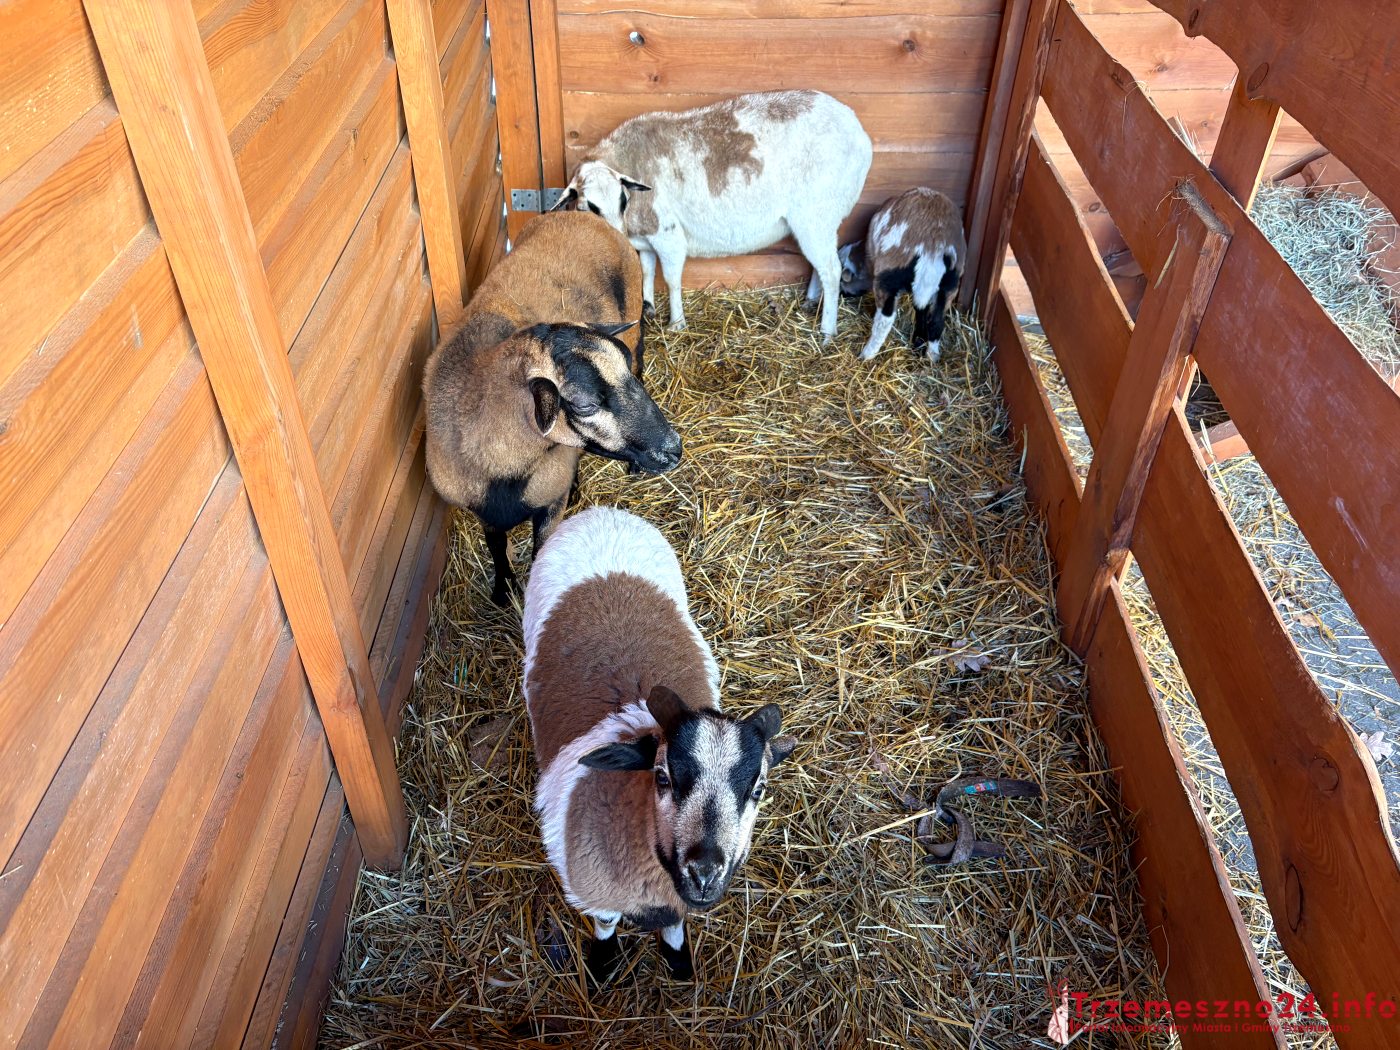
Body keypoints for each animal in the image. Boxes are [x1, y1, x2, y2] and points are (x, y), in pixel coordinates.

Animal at [423, 212, 682, 606]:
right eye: (584, 404)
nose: (674, 449)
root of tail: (578, 214)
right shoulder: (485, 512)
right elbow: (496, 548)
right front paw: (502, 592)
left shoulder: (551, 503)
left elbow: (541, 554)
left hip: (635, 322)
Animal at [523, 507, 796, 982]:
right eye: (662, 777)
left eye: (758, 790)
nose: (704, 874)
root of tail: (602, 513)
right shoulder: (596, 893)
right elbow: (606, 923)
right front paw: (602, 964)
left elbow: (673, 927)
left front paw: (680, 964)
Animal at [553, 90, 872, 341]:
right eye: (589, 206)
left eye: (622, 199)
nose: (617, 241)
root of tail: (858, 130)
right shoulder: (647, 238)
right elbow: (646, 268)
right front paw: (648, 306)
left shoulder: (668, 235)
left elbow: (671, 279)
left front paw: (677, 323)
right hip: (820, 221)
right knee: (821, 266)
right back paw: (810, 303)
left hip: (816, 214)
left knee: (831, 270)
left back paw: (827, 332)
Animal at [839, 187, 966, 363]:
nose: (841, 294)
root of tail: (934, 247)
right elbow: (922, 310)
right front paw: (919, 341)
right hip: (949, 285)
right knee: (937, 321)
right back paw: (932, 357)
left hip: (888, 278)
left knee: (884, 321)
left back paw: (866, 355)